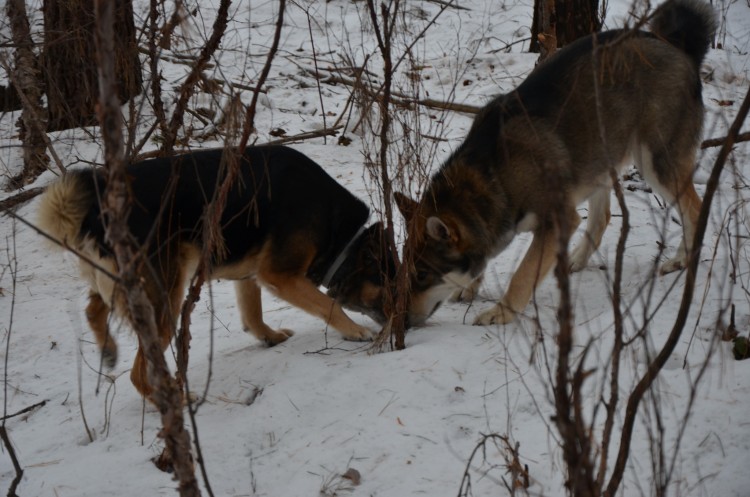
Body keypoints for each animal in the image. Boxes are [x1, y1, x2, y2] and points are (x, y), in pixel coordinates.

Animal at [394, 0, 716, 328]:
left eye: (422, 274)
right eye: (405, 269)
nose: (402, 321)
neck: (494, 173)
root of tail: (676, 47)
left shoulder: (558, 219)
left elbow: (522, 275)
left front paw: (501, 312)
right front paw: (471, 288)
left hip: (655, 165)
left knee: (695, 209)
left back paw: (681, 260)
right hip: (598, 158)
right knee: (603, 217)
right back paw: (575, 259)